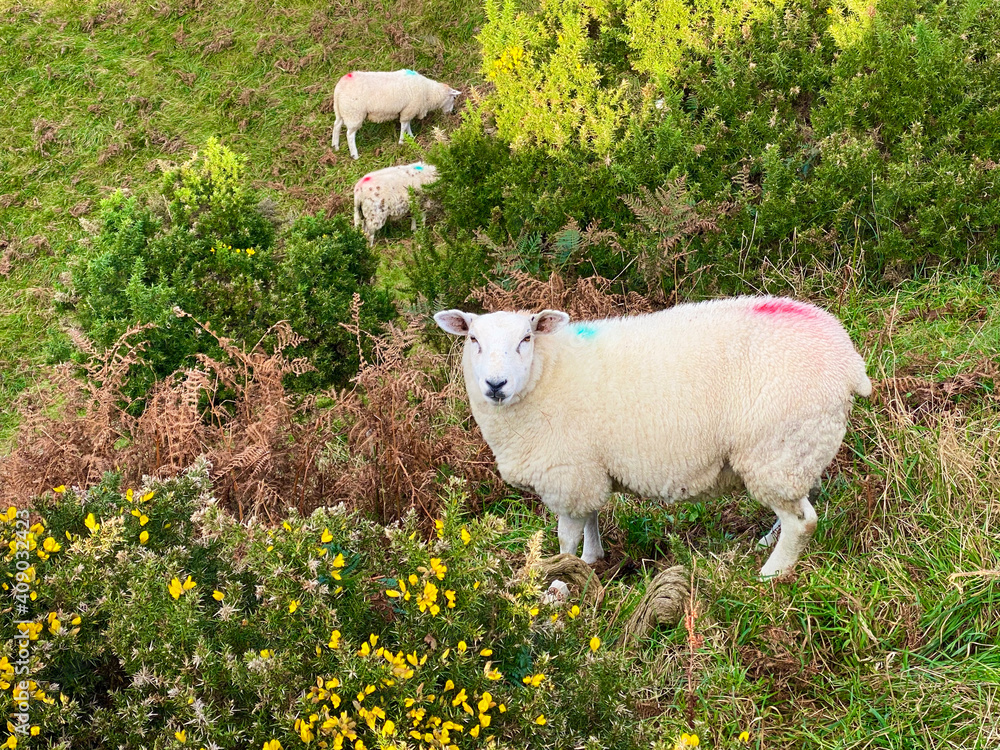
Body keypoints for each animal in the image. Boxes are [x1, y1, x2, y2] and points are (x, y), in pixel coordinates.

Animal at [332, 69, 460, 160]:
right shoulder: (409, 109)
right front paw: (402, 141)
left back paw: (335, 146)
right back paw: (355, 155)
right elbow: (404, 125)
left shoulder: (409, 109)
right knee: (350, 134)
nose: (451, 112)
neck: (429, 93)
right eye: (454, 98)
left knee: (336, 126)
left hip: (341, 111)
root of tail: (339, 88)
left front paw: (411, 137)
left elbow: (407, 125)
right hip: (354, 113)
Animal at [434, 297, 872, 578]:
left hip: (775, 445)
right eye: (473, 340)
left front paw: (562, 579)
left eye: (526, 339)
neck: (545, 372)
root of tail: (850, 360)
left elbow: (565, 537)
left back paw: (771, 573)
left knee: (803, 521)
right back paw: (766, 543)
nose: (495, 385)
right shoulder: (588, 468)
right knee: (799, 501)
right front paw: (593, 559)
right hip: (798, 447)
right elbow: (592, 517)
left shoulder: (566, 472)